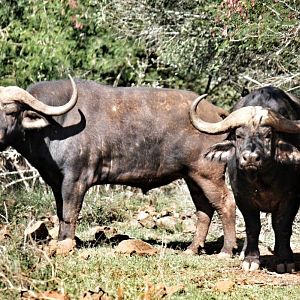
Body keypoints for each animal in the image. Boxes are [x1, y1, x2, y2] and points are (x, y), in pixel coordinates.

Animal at [0, 77, 237, 255]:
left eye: (10, 111)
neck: (54, 126)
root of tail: (213, 111)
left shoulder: (75, 180)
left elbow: (69, 212)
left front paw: (66, 243)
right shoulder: (56, 182)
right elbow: (60, 213)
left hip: (208, 174)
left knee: (226, 203)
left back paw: (226, 251)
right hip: (192, 177)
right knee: (204, 209)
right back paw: (192, 248)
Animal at [191, 85, 300, 274]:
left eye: (267, 135)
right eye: (239, 135)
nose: (250, 158)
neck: (263, 180)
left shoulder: (291, 197)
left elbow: (282, 226)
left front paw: (285, 259)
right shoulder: (242, 198)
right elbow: (252, 227)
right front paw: (250, 259)